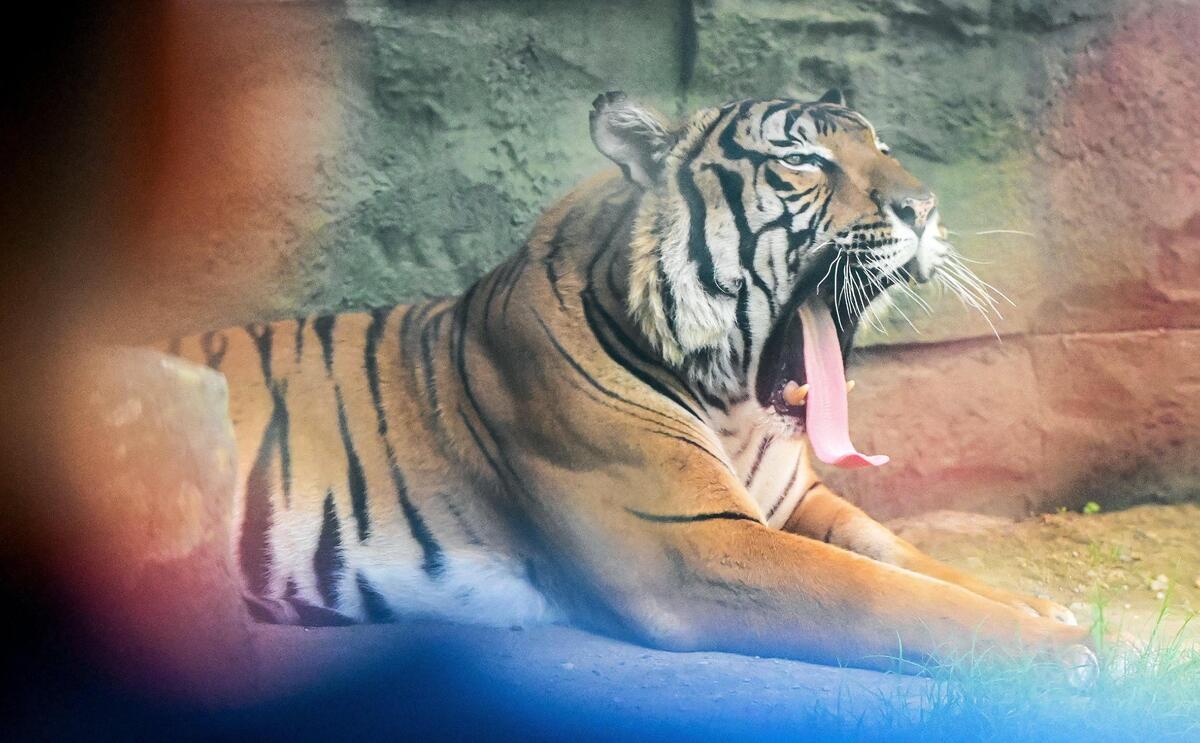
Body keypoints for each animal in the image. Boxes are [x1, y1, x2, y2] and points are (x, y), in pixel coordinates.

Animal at [167, 89, 1094, 673]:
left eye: (884, 148)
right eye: (803, 159)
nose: (926, 210)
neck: (737, 408)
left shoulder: (800, 503)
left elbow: (908, 557)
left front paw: (1045, 608)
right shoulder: (696, 542)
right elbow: (882, 594)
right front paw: (1063, 653)